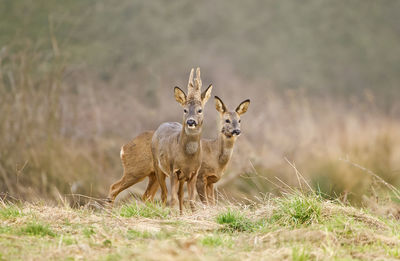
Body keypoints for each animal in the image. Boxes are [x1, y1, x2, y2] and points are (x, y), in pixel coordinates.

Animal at [151, 67, 212, 213]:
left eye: (200, 110)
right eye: (185, 110)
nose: (191, 121)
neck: (188, 157)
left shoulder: (194, 173)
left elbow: (191, 200)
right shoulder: (174, 170)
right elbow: (172, 199)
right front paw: (171, 215)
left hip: (183, 177)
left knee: (179, 195)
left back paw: (181, 213)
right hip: (157, 166)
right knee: (164, 194)